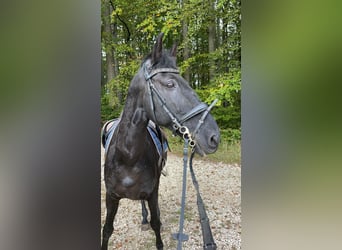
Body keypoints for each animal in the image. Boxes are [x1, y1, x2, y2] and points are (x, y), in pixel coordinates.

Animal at [101, 33, 219, 250]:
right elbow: (107, 230)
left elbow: (156, 224)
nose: (214, 136)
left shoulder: (152, 193)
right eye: (170, 84)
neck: (128, 156)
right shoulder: (111, 197)